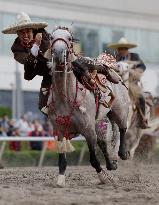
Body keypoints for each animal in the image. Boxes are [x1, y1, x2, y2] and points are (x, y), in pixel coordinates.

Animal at [46, 27, 129, 187]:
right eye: (51, 37)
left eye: (70, 38)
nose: (59, 52)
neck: (66, 98)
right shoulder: (59, 130)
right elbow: (62, 160)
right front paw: (60, 180)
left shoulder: (88, 130)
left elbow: (93, 160)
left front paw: (104, 178)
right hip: (99, 121)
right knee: (103, 142)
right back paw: (111, 164)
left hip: (119, 111)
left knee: (122, 128)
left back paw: (122, 153)